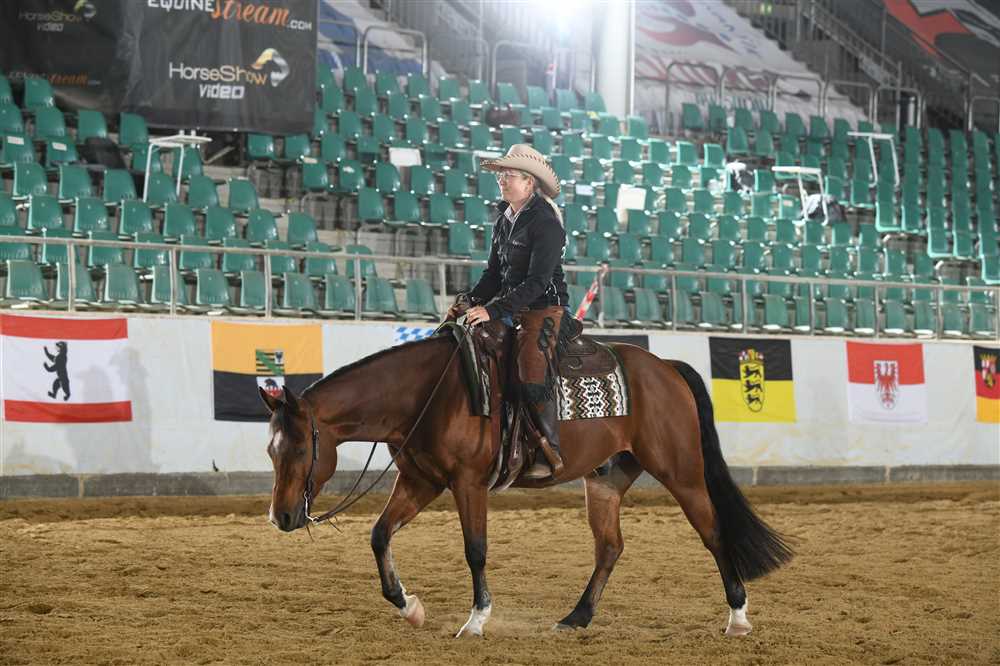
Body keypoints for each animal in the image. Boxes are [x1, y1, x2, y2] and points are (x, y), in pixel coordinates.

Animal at [260, 329, 792, 637]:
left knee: (713, 533)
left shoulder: (467, 483)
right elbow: (379, 535)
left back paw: (738, 617)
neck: (429, 394)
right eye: (270, 450)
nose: (282, 517)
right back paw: (577, 617)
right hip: (605, 479)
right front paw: (409, 606)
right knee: (610, 547)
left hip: (681, 471)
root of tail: (666, 368)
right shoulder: (420, 480)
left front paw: (476, 620)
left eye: (301, 449)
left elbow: (475, 549)